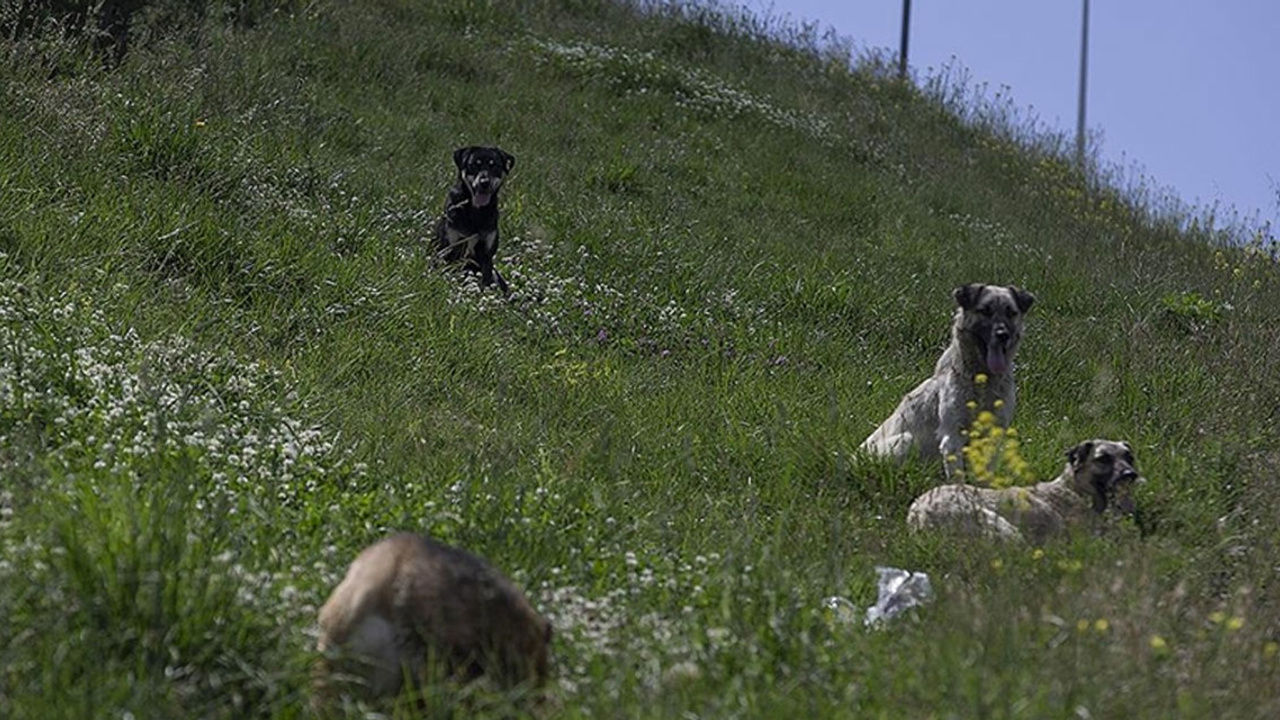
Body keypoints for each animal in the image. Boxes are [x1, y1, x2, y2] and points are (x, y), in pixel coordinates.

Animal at [435, 146, 514, 294]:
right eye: (474, 165)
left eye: (495, 165)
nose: (484, 183)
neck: (475, 211)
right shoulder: (450, 246)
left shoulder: (487, 253)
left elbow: (486, 278)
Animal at [906, 438, 1146, 543]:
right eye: (1103, 458)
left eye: (1129, 457)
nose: (1130, 475)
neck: (1075, 489)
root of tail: (917, 515)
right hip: (998, 524)